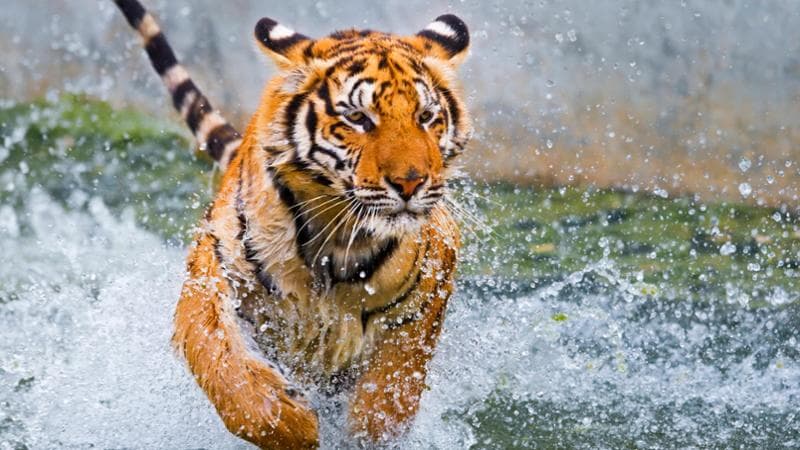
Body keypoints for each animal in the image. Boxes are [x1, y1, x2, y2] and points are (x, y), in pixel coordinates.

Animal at [113, 0, 472, 448]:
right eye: (359, 118)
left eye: (425, 116)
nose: (411, 182)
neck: (337, 238)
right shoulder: (213, 270)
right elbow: (219, 358)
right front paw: (292, 424)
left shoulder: (428, 289)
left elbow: (392, 390)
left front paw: (367, 430)